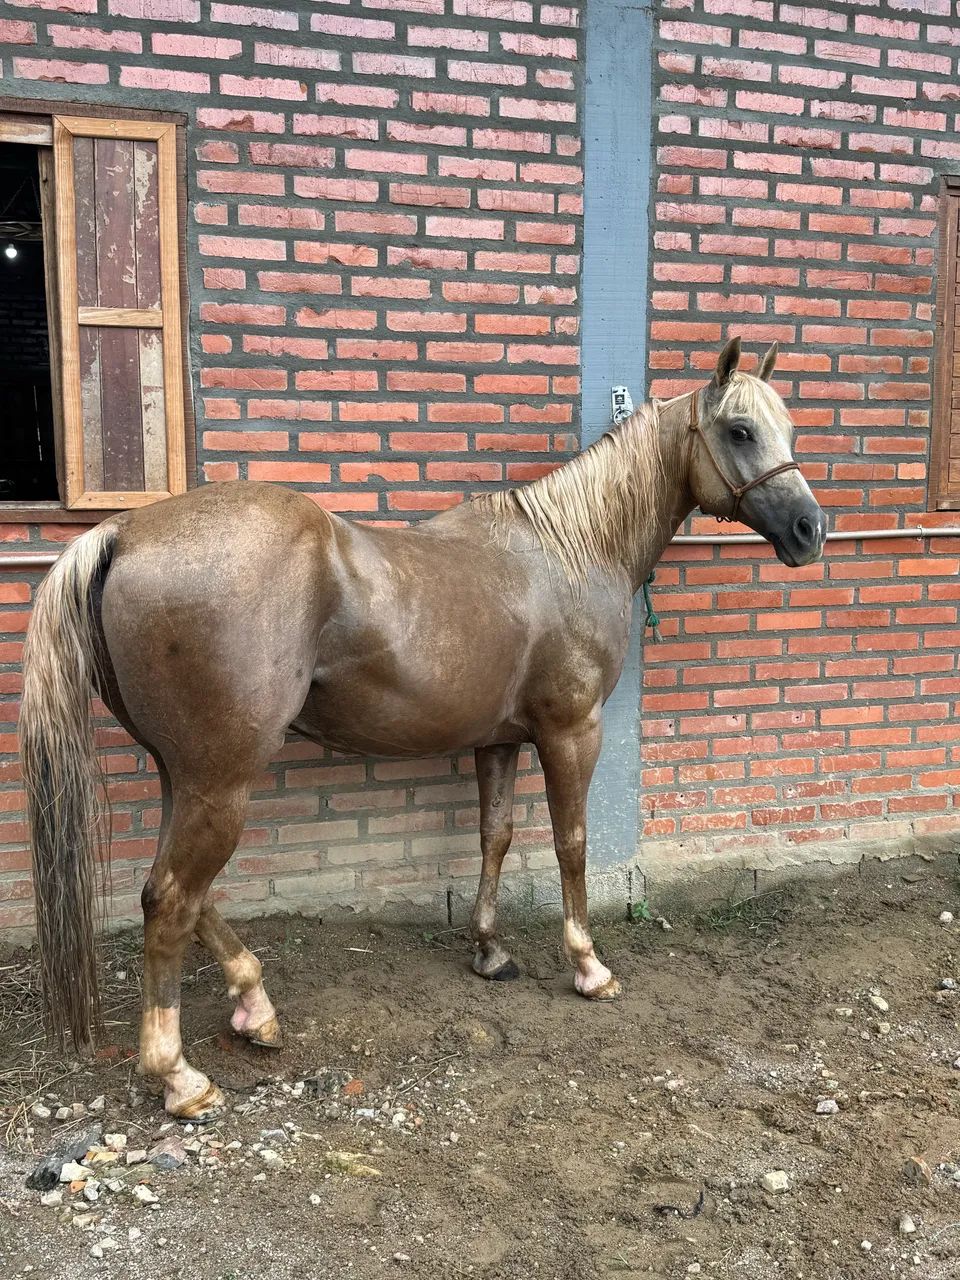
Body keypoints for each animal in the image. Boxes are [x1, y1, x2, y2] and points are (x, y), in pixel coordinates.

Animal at [19, 337, 825, 1120]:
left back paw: (255, 1006)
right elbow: (571, 843)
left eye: (788, 429)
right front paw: (589, 966)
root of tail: (126, 531)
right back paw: (180, 1077)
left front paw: (490, 951)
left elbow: (496, 835)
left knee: (176, 893)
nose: (811, 530)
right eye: (739, 429)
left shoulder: (498, 739)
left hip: (187, 772)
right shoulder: (571, 730)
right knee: (171, 900)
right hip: (222, 779)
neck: (569, 549)